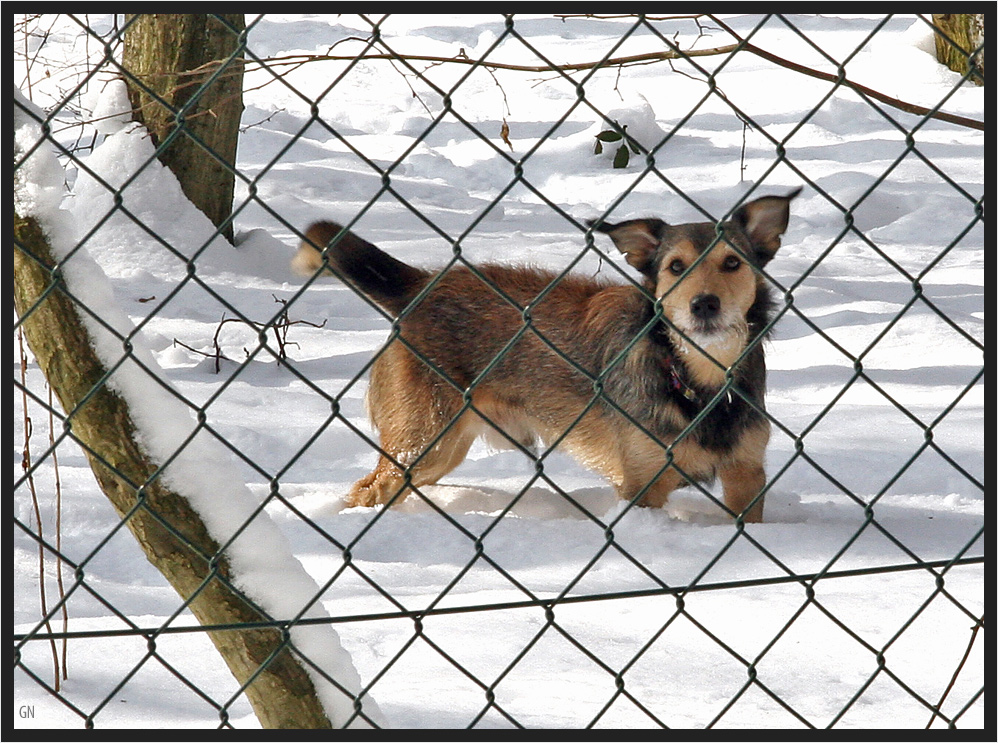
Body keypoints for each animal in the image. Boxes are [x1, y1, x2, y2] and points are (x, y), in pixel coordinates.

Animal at [292, 189, 800, 520]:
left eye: (732, 263)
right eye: (676, 268)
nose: (704, 304)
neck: (698, 378)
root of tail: (421, 283)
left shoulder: (746, 477)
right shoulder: (643, 486)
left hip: (440, 449)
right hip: (422, 439)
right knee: (365, 490)